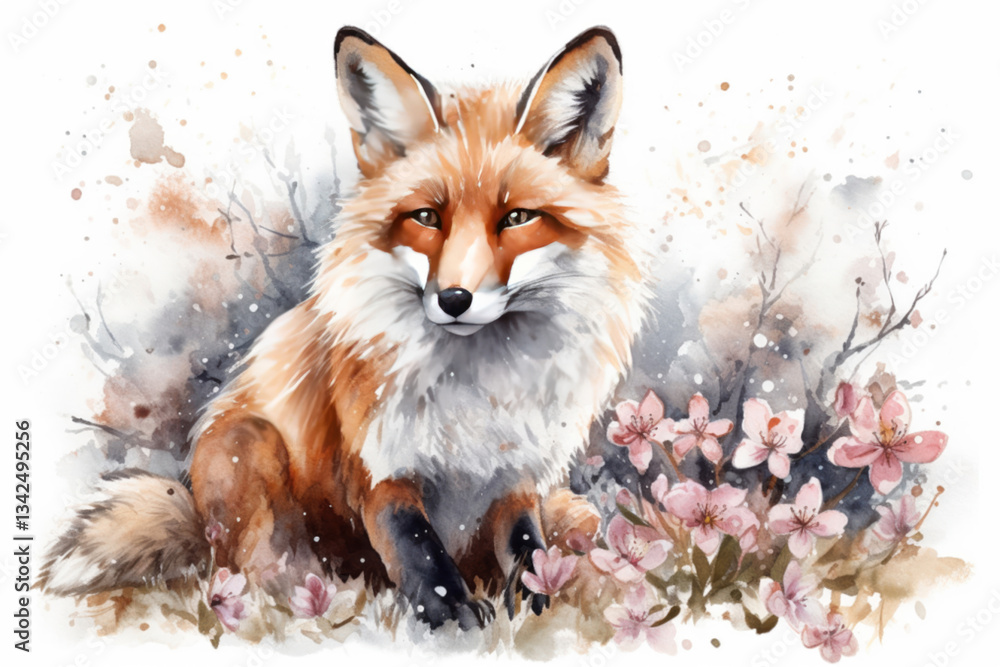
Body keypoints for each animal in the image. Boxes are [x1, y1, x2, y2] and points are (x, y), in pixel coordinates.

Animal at [40, 25, 652, 630]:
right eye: (427, 217)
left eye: (517, 218)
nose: (455, 299)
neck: (477, 394)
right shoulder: (380, 469)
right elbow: (418, 549)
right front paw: (453, 618)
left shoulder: (517, 481)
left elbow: (530, 552)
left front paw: (537, 611)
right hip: (249, 446)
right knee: (248, 574)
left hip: (575, 513)